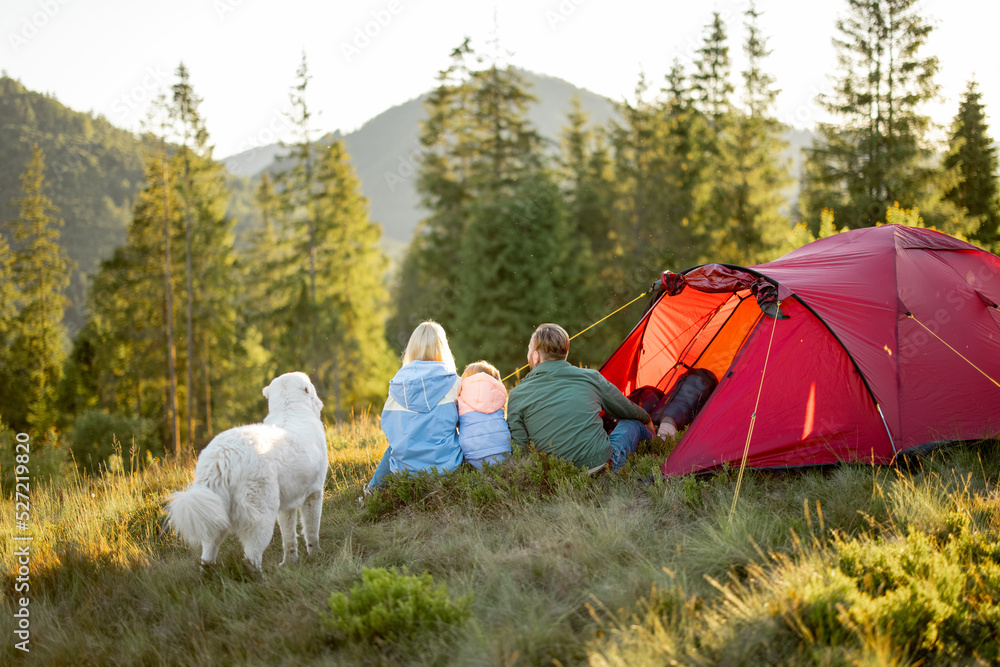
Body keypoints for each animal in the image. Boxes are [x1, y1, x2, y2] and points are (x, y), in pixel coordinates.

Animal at [167, 370, 328, 568]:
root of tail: (223, 455)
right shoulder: (314, 493)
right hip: (260, 516)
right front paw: (316, 555)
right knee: (252, 557)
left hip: (213, 512)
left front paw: (290, 562)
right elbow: (312, 529)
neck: (289, 408)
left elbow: (289, 537)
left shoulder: (286, 505)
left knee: (208, 553)